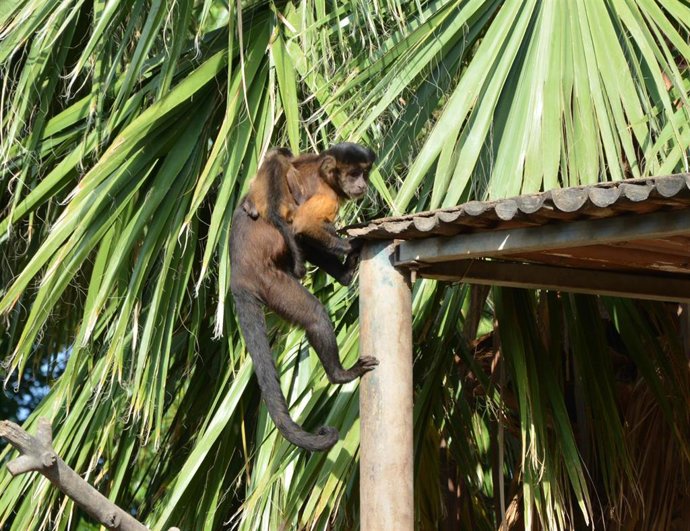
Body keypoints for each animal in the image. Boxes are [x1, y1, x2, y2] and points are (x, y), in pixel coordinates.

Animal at [230, 142, 378, 451]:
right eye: (354, 173)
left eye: (365, 173)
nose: (362, 184)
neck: (324, 172)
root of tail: (237, 275)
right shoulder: (327, 196)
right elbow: (302, 225)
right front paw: (351, 243)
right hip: (269, 281)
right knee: (315, 315)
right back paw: (340, 374)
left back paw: (344, 275)